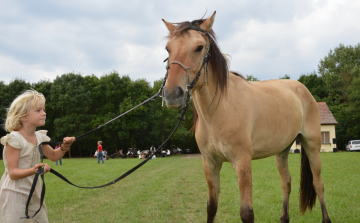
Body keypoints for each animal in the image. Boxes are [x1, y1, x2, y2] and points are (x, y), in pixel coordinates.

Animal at [160, 12, 332, 223]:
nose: (171, 94)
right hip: (282, 150)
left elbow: (247, 212)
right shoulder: (210, 164)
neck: (219, 110)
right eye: (168, 48)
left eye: (199, 47)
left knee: (318, 184)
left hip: (312, 144)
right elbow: (211, 207)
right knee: (286, 183)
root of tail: (303, 89)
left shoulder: (242, 162)